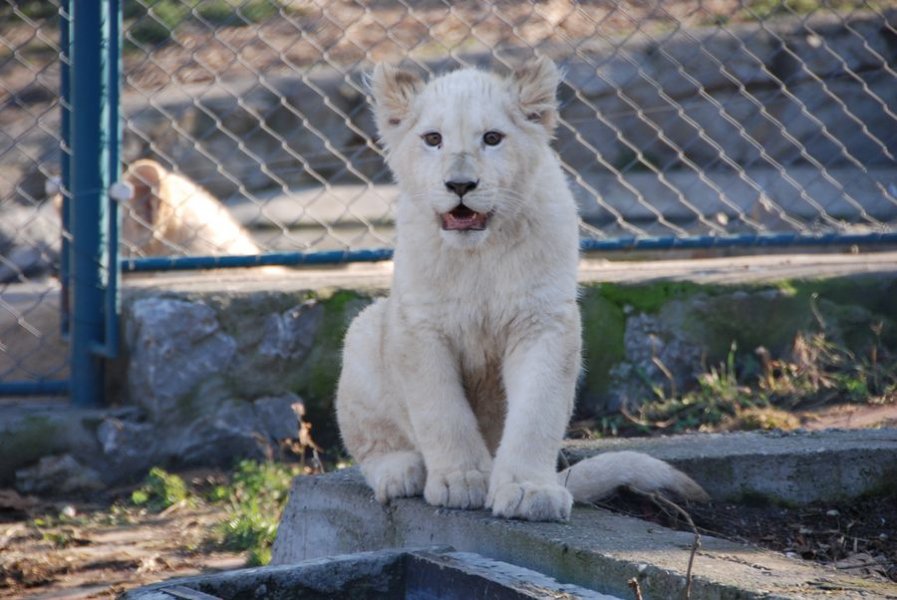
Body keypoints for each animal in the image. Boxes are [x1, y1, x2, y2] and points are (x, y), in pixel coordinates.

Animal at [336, 58, 708, 524]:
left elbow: (537, 413)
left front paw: (529, 491)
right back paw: (401, 472)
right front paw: (461, 481)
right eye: (433, 139)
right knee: (373, 443)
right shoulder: (421, 326)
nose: (461, 185)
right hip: (365, 331)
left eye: (492, 138)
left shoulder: (543, 322)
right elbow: (441, 411)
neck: (479, 254)